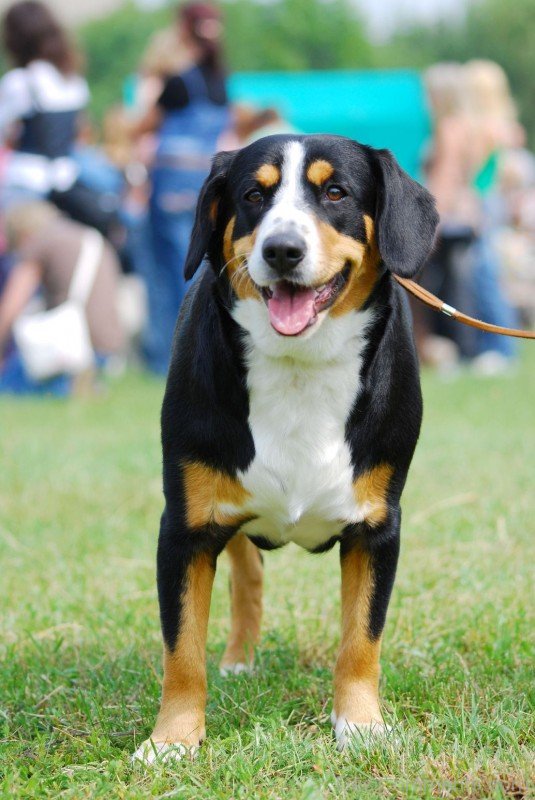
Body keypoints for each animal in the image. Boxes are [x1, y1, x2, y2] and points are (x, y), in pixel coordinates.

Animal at [135, 133, 440, 764]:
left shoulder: (378, 525)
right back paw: (239, 659)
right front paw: (173, 739)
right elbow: (182, 649)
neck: (301, 368)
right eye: (254, 194)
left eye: (336, 192)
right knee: (246, 576)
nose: (282, 250)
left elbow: (361, 639)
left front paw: (361, 725)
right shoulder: (186, 524)